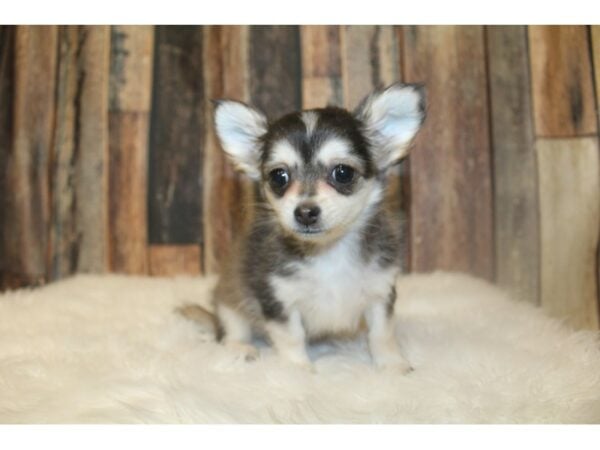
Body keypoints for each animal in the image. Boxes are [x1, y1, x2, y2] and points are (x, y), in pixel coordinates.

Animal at [180, 82, 424, 370]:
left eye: (343, 173)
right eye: (279, 177)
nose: (305, 212)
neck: (328, 253)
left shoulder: (380, 291)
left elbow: (382, 333)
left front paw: (392, 365)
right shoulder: (278, 299)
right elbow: (291, 337)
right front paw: (298, 370)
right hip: (230, 299)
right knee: (230, 330)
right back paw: (241, 349)